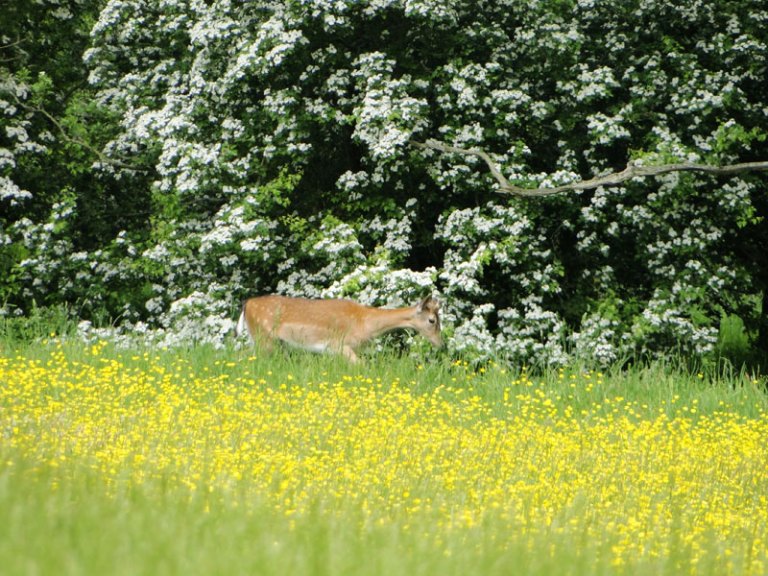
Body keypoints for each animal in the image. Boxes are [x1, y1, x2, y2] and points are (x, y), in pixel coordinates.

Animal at [235, 294, 443, 362]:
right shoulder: (338, 345)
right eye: (432, 320)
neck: (365, 323)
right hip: (264, 338)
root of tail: (247, 304)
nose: (441, 344)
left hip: (261, 340)